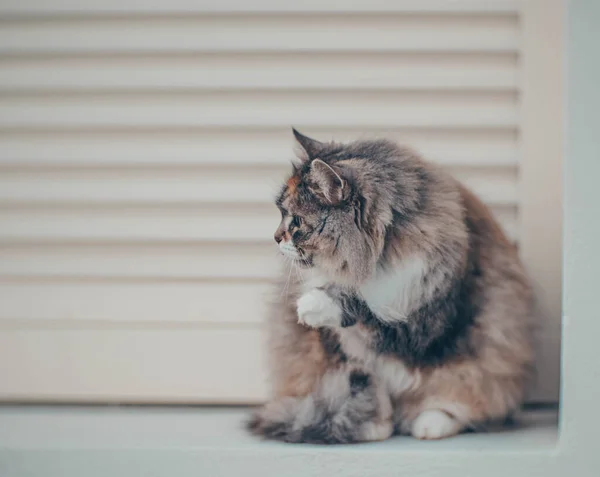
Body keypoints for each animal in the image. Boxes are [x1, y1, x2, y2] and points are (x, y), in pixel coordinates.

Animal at [246, 130, 532, 442]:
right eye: (280, 214)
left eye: (295, 220)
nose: (275, 237)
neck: (376, 263)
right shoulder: (343, 352)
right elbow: (369, 385)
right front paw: (376, 427)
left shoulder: (428, 322)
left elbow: (371, 314)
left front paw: (313, 305)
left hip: (477, 370)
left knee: (458, 403)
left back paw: (429, 426)